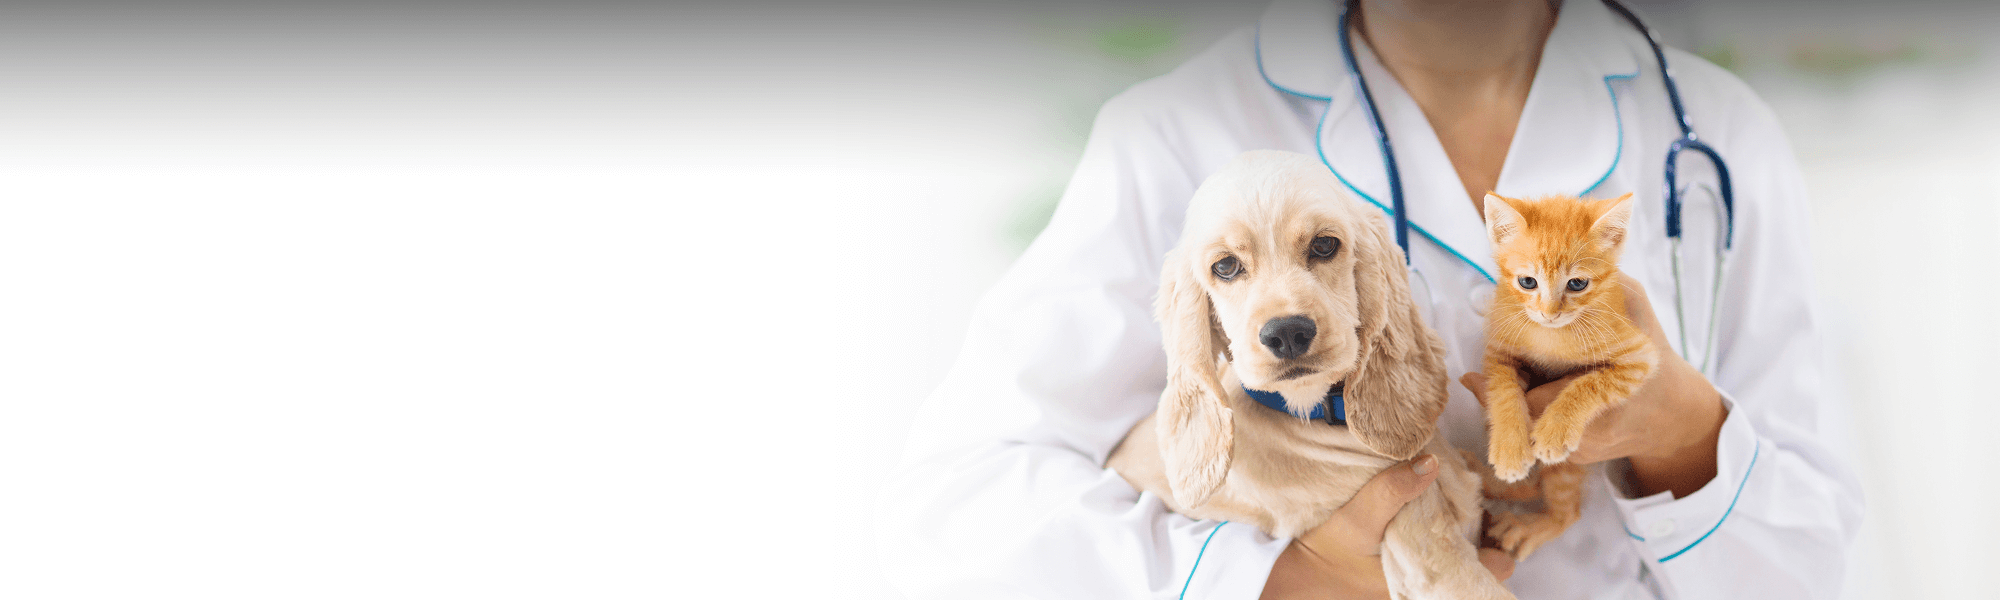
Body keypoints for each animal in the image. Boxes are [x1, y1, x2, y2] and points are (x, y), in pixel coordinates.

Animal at [1477, 192, 1659, 560]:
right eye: (1527, 282)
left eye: (1577, 284)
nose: (1550, 313)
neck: (1551, 337)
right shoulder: (1498, 351)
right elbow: (1502, 390)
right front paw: (1510, 448)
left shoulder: (1638, 356)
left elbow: (1590, 383)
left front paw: (1555, 429)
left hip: (1568, 469)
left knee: (1566, 510)